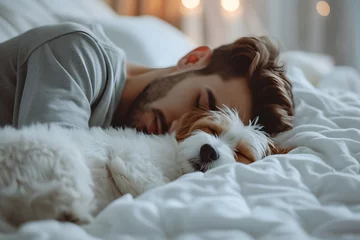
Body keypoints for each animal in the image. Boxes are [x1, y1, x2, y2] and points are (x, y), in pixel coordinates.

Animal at [0, 107, 288, 229]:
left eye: (242, 153)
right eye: (212, 130)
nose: (209, 150)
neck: (174, 161)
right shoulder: (131, 163)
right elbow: (151, 186)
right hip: (64, 162)